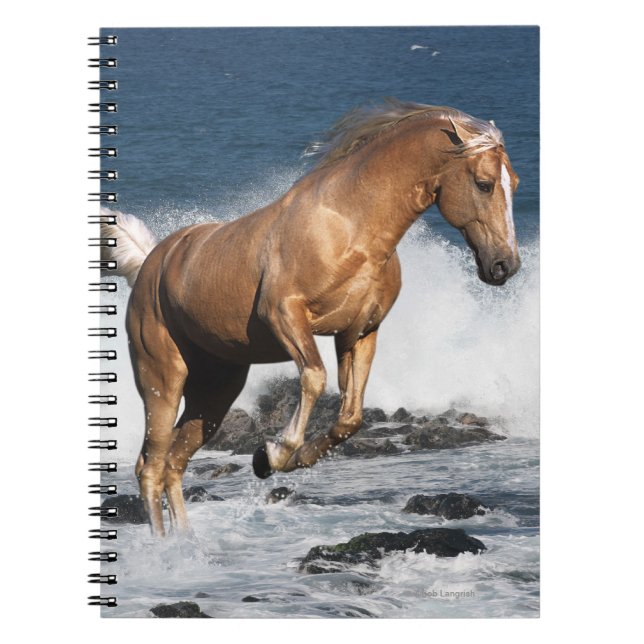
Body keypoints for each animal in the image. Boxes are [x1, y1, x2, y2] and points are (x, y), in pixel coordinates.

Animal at [102, 99, 521, 536]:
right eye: (484, 184)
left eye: (516, 183)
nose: (505, 265)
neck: (350, 227)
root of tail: (150, 263)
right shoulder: (284, 315)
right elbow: (315, 377)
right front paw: (273, 453)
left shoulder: (360, 332)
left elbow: (350, 417)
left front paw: (284, 459)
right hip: (162, 378)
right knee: (150, 466)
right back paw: (167, 549)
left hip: (216, 392)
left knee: (173, 463)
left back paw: (189, 544)